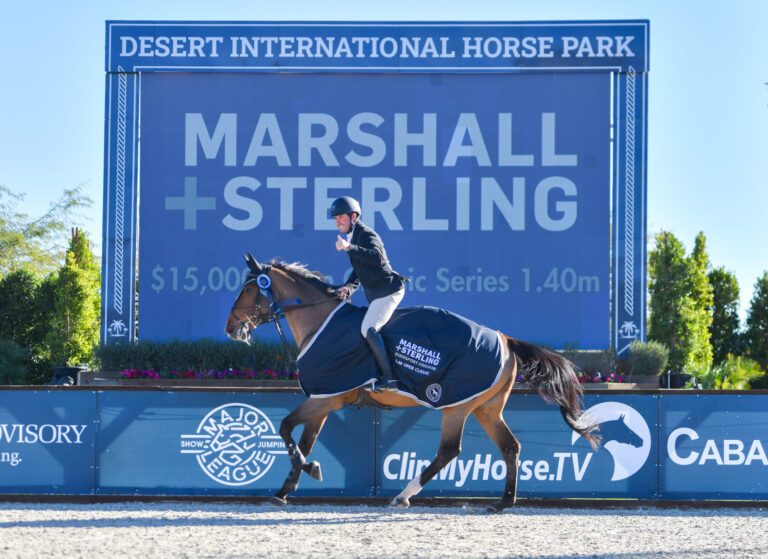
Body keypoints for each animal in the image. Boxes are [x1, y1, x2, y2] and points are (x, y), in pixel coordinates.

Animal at [226, 256, 600, 516]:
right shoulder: (323, 400)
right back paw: (503, 502)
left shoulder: (326, 399)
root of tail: (505, 339)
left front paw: (310, 470)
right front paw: (285, 489)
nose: (231, 328)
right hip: (486, 408)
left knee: (449, 450)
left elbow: (285, 427)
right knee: (510, 447)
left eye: (249, 289)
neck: (320, 323)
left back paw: (403, 495)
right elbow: (301, 441)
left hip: (456, 404)